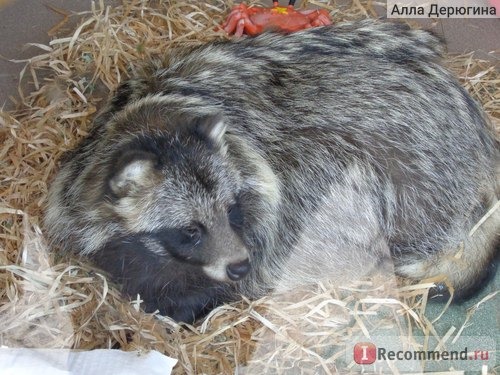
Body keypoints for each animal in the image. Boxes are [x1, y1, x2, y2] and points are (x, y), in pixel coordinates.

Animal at [45, 19, 498, 322]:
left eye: (232, 211)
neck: (154, 122)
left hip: (415, 165)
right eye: (190, 230)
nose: (238, 266)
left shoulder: (277, 198)